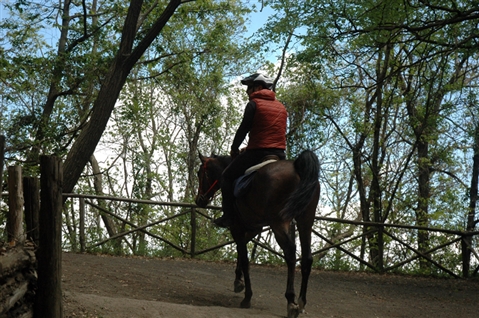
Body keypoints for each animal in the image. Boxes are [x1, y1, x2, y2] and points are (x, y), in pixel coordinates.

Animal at [195, 150, 322, 318]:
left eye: (199, 173)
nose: (198, 200)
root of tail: (297, 167)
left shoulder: (237, 228)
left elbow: (245, 259)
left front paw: (247, 297)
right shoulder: (253, 229)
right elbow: (240, 251)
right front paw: (238, 281)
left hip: (279, 222)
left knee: (290, 252)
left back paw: (291, 301)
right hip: (305, 221)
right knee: (307, 258)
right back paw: (301, 302)